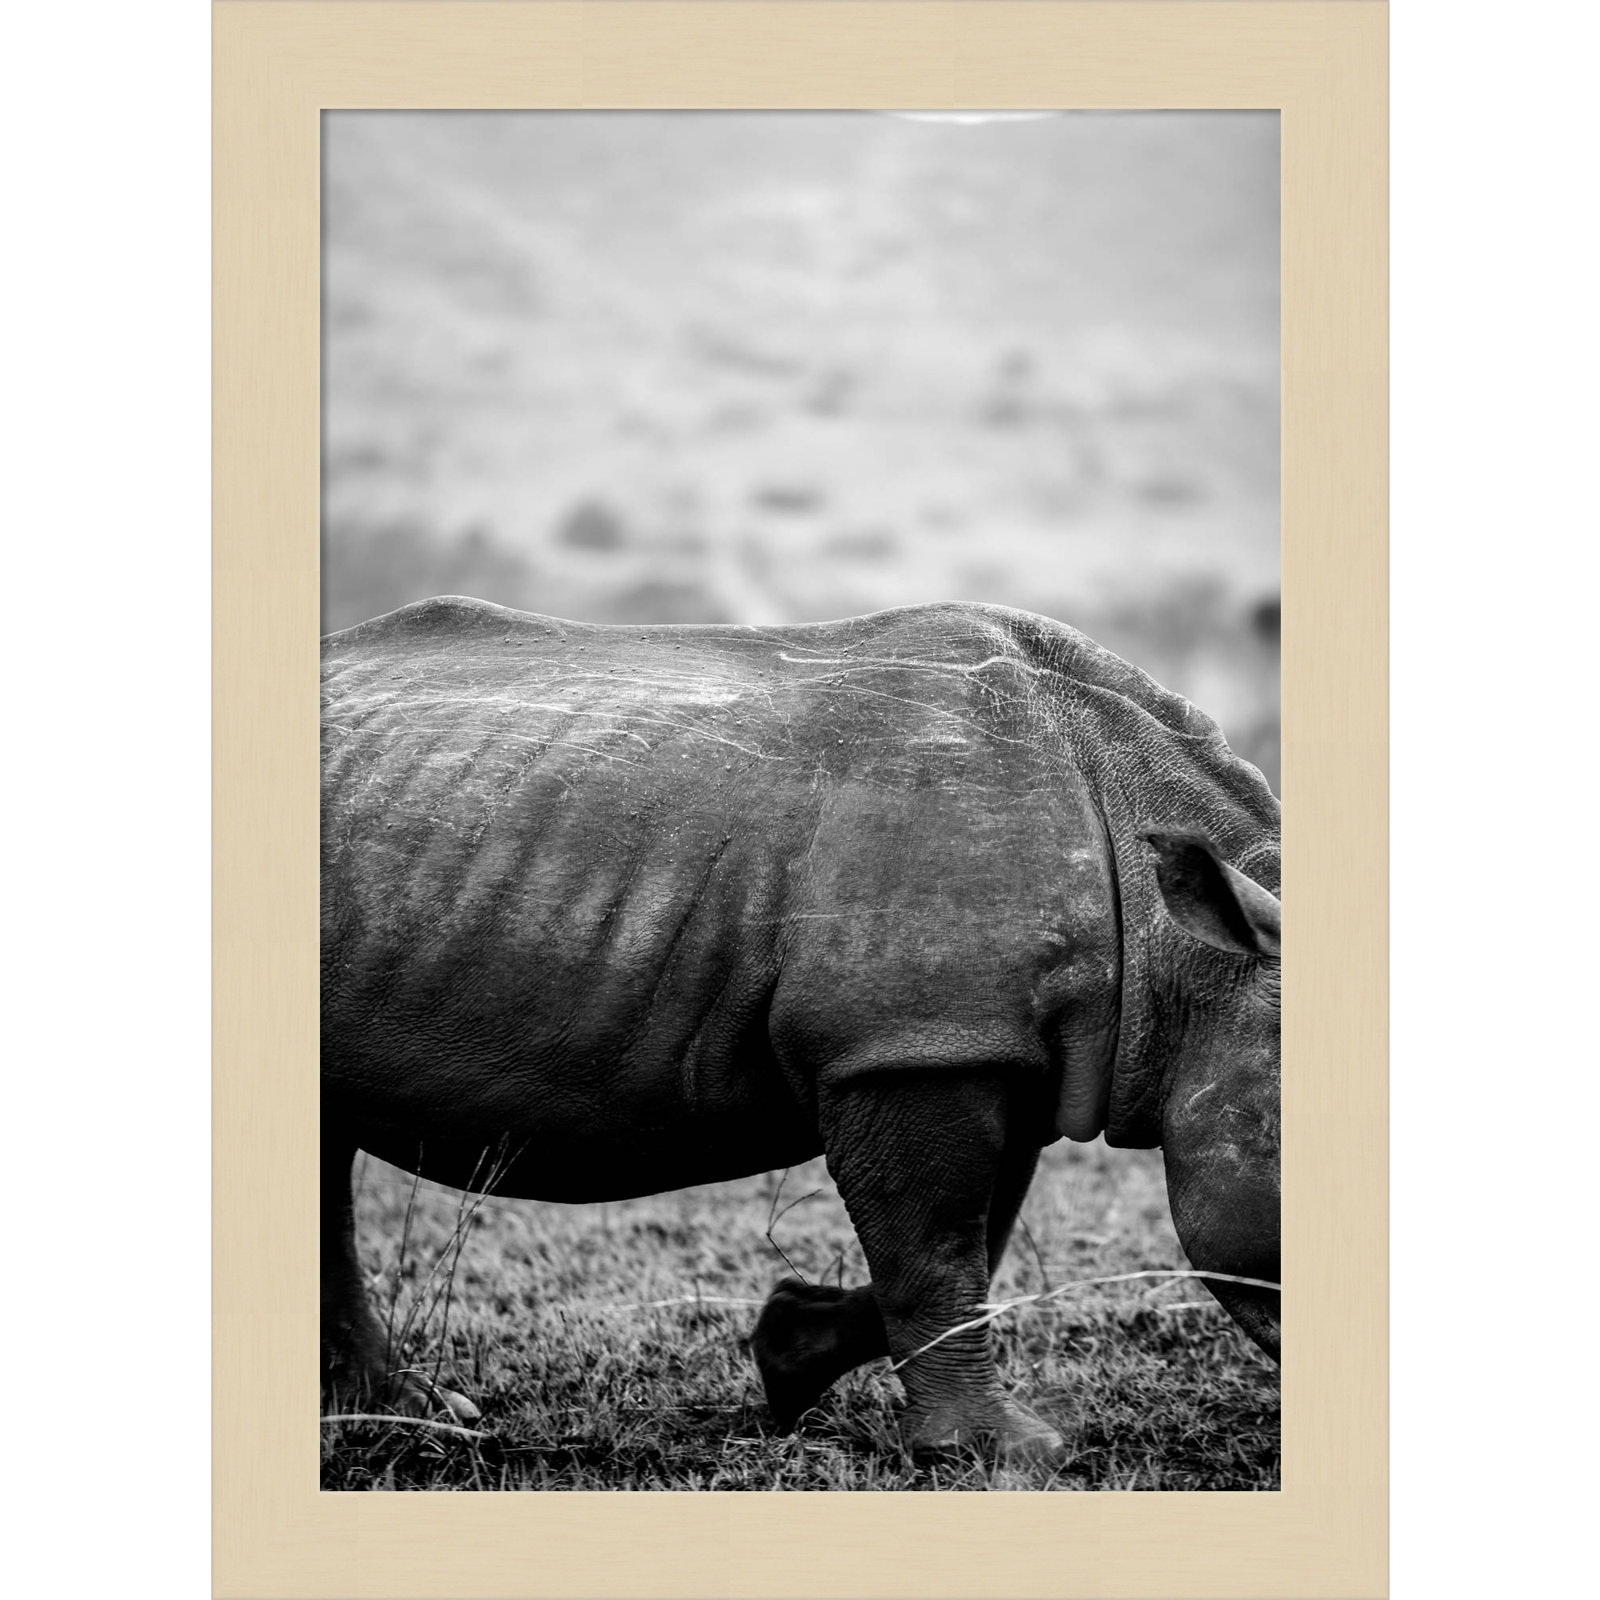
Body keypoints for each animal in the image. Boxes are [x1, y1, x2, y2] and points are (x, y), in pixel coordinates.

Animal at [321, 597, 1280, 1459]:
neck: (1185, 957)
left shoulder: (983, 1045)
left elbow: (976, 1237)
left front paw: (789, 1355)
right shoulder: (908, 1044)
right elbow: (938, 1248)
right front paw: (998, 1453)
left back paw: (404, 1410)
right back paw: (417, 1416)